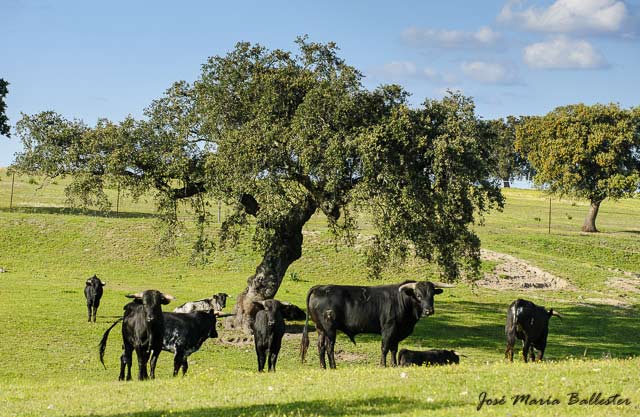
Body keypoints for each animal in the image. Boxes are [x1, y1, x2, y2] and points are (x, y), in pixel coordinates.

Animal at [300, 280, 450, 368]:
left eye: (432, 295)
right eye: (418, 295)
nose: (429, 310)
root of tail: (319, 287)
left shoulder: (396, 332)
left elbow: (394, 349)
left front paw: (394, 365)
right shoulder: (388, 329)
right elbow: (384, 348)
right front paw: (383, 365)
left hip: (320, 329)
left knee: (320, 346)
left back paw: (323, 367)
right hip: (330, 328)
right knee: (329, 347)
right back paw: (333, 366)